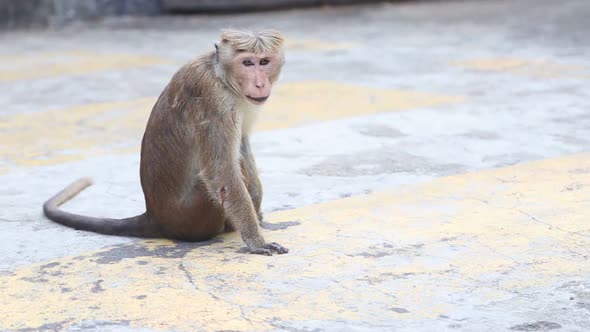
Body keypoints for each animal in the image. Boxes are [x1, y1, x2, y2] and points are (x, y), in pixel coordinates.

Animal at [43, 29, 290, 256]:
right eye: (247, 62)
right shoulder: (214, 98)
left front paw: (257, 208)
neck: (222, 75)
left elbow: (242, 144)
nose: (259, 84)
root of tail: (155, 216)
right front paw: (256, 241)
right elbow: (221, 170)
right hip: (192, 215)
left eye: (264, 62)